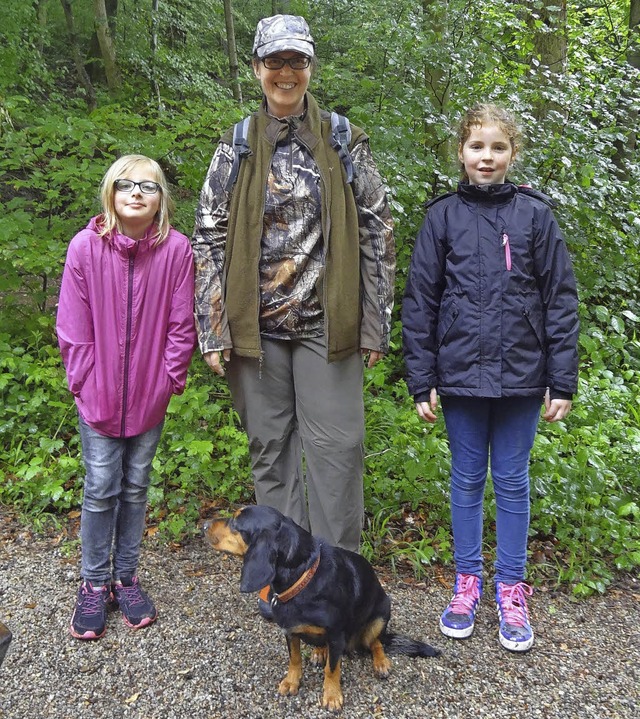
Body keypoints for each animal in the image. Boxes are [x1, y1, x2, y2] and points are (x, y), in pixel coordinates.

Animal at [204, 510, 440, 712]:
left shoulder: (336, 636)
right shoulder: (290, 631)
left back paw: (381, 662)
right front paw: (291, 682)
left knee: (375, 642)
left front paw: (332, 696)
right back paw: (319, 652)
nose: (204, 525)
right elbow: (295, 659)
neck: (303, 579)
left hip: (381, 615)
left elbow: (332, 669)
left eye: (236, 522)